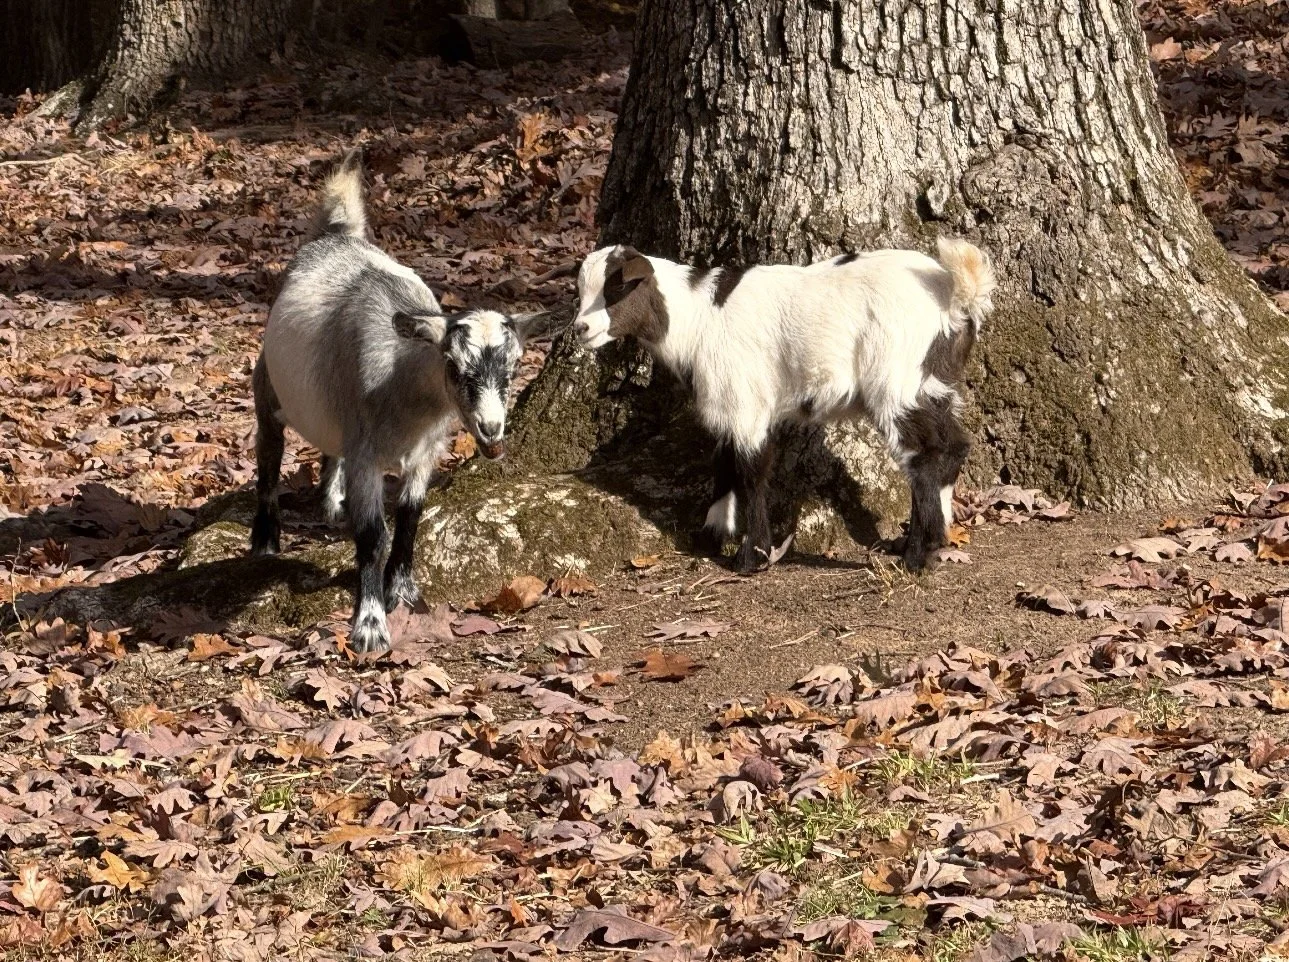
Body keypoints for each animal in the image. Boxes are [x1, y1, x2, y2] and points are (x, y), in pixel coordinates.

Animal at [250, 150, 557, 652]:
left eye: (513, 369)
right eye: (454, 367)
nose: (492, 431)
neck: (404, 394)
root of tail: (335, 234)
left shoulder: (426, 453)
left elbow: (411, 517)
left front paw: (405, 590)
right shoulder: (367, 456)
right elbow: (373, 535)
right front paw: (371, 623)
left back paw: (331, 502)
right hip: (268, 385)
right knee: (269, 449)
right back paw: (265, 539)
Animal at [571, 238, 996, 573]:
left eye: (616, 288)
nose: (580, 329)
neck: (698, 318)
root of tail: (955, 295)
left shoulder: (747, 401)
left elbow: (751, 472)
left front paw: (751, 556)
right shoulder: (729, 405)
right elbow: (723, 463)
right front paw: (712, 534)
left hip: (897, 377)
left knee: (925, 453)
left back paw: (919, 555)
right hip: (933, 381)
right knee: (953, 446)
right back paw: (927, 541)